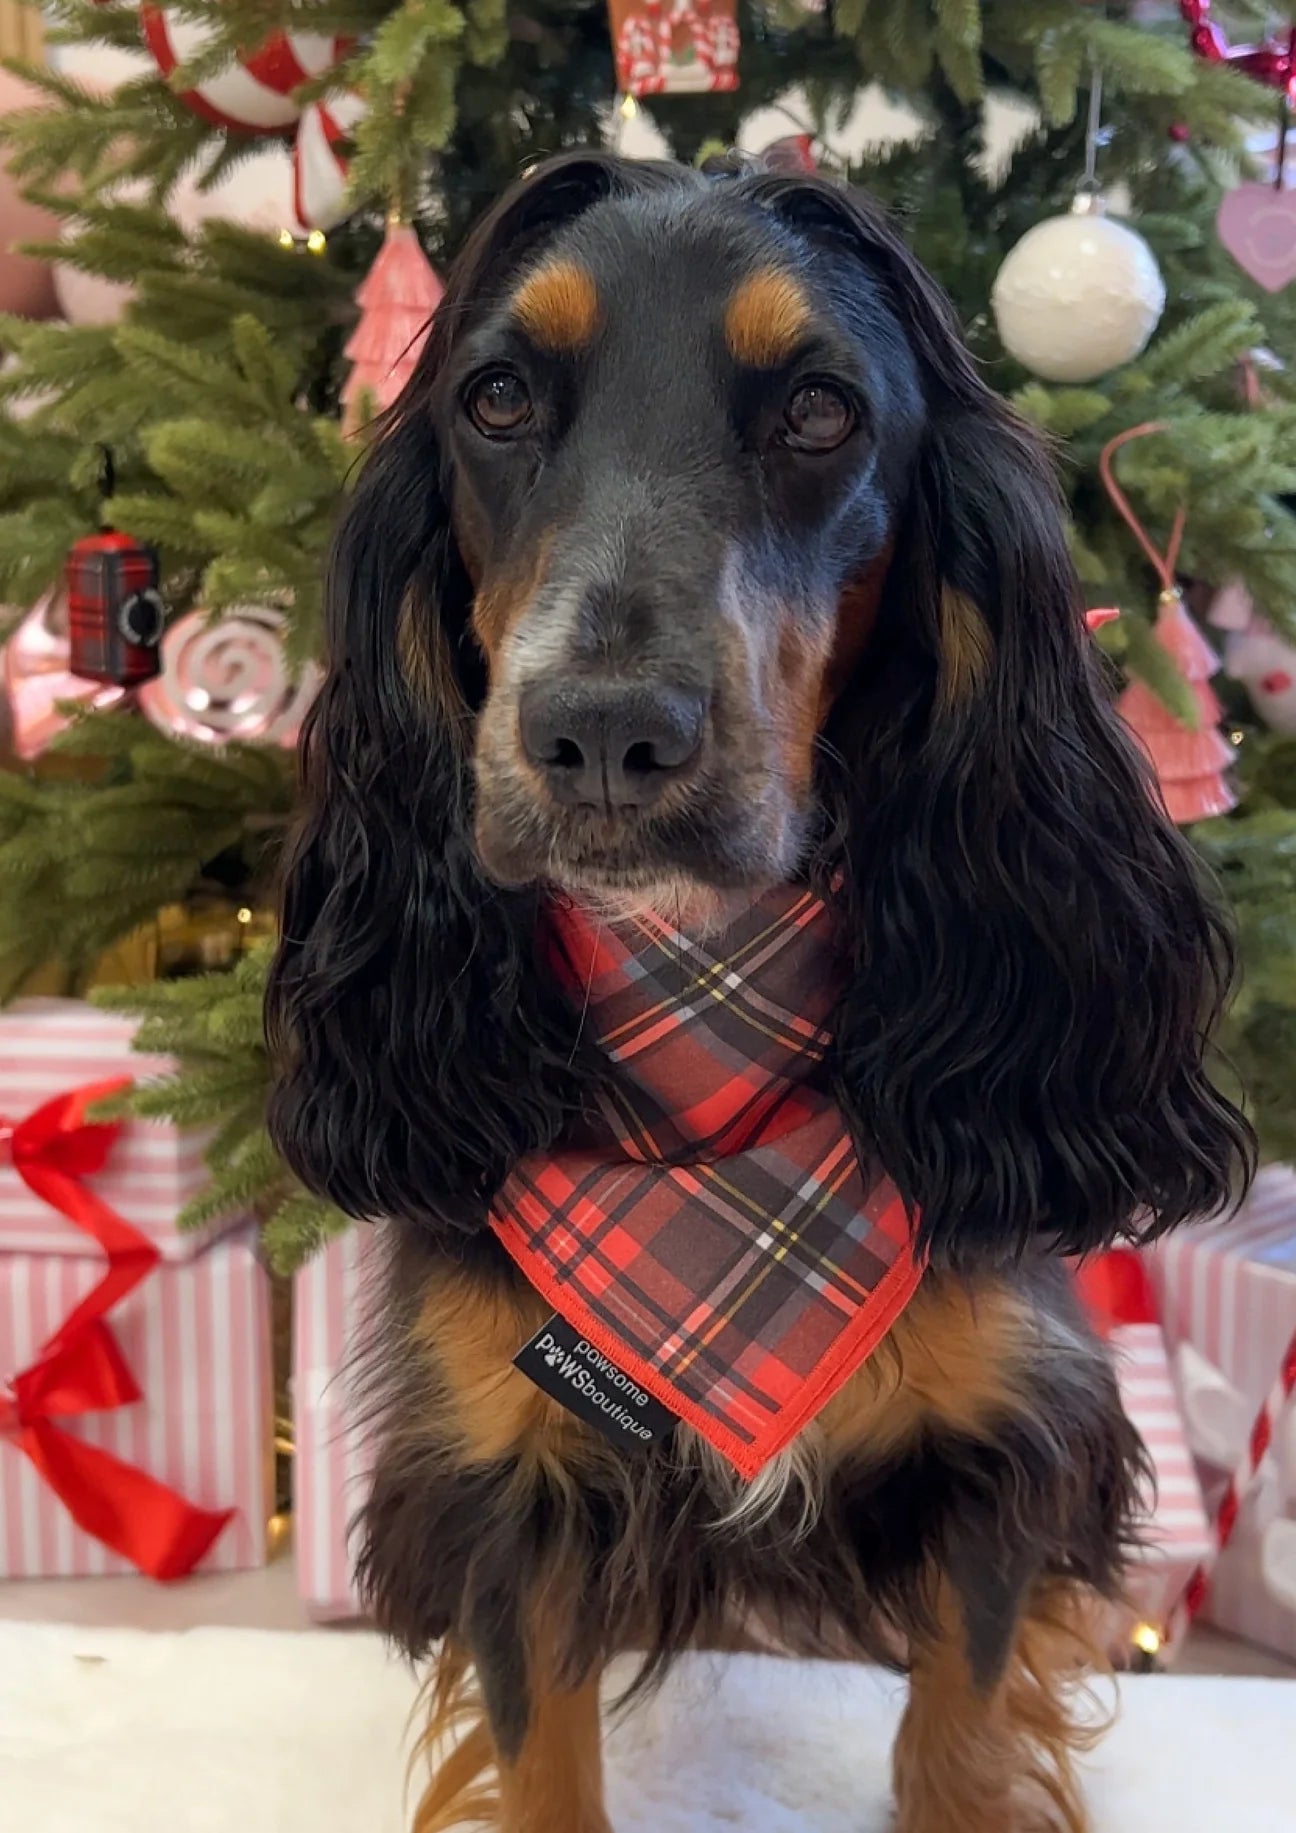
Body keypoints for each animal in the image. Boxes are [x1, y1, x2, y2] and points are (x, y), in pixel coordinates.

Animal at [265, 157, 1253, 1833]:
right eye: (497, 396)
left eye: (819, 410)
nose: (603, 737)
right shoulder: (507, 1480)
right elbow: (539, 1753)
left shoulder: (999, 1456)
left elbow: (963, 1735)